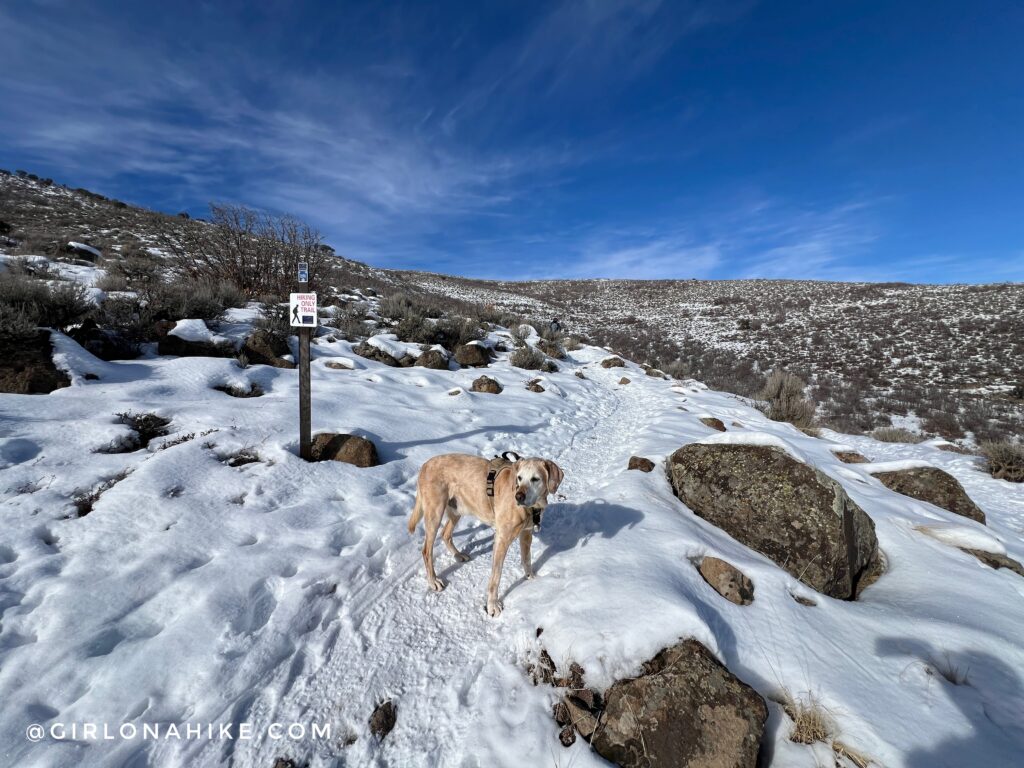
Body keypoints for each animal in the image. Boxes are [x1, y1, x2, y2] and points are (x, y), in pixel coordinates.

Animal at [407, 454, 565, 618]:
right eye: (519, 478)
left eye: (535, 479)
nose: (518, 496)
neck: (531, 508)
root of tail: (425, 464)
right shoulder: (501, 540)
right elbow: (495, 578)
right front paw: (492, 605)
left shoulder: (526, 534)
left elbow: (527, 560)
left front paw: (531, 579)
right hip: (435, 514)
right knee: (426, 550)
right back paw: (433, 581)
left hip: (457, 510)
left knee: (445, 534)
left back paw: (458, 555)